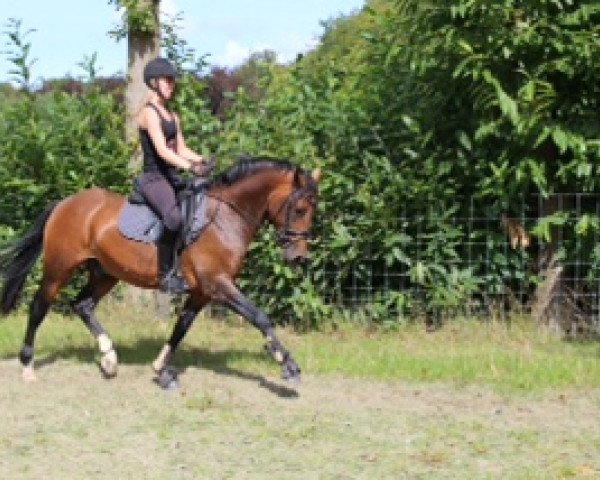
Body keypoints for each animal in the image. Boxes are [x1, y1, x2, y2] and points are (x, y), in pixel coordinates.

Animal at [0, 158, 322, 386]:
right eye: (300, 209)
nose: (298, 257)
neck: (224, 218)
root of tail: (64, 204)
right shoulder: (219, 285)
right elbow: (259, 317)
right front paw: (287, 364)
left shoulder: (202, 292)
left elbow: (181, 327)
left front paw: (160, 367)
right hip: (59, 269)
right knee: (39, 307)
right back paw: (28, 366)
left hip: (105, 273)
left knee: (83, 305)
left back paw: (109, 359)